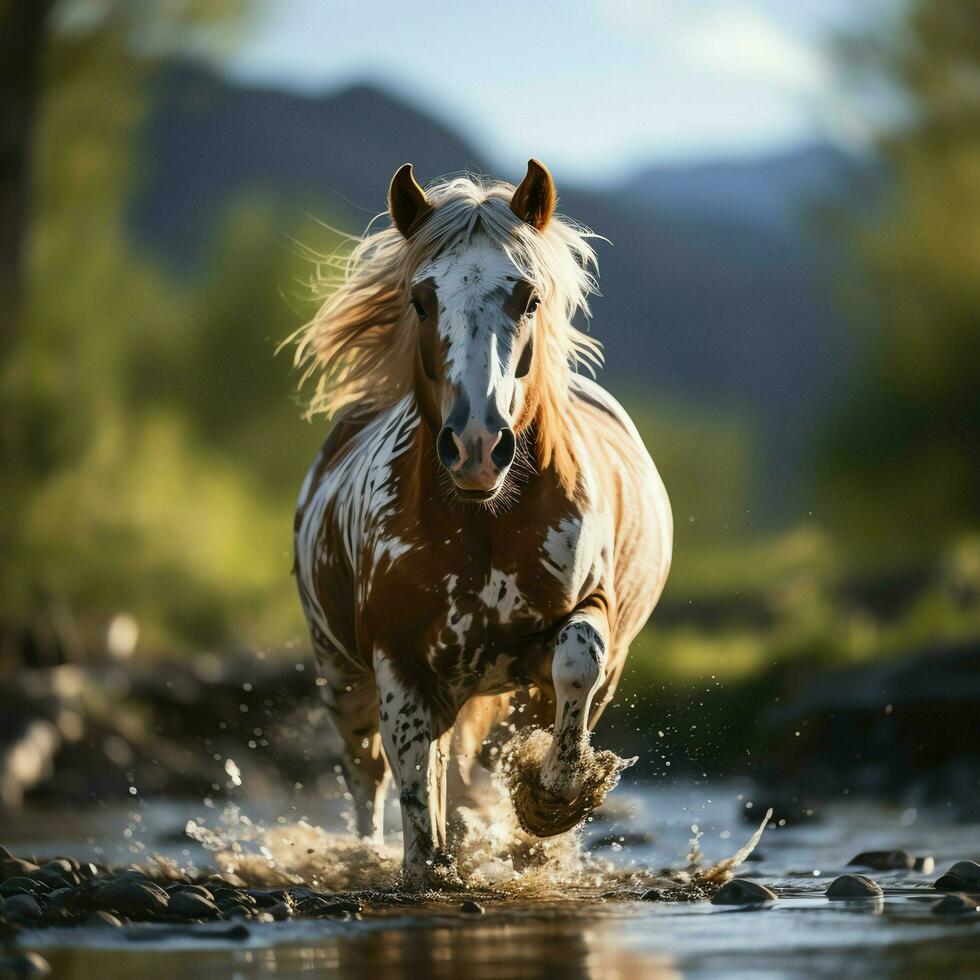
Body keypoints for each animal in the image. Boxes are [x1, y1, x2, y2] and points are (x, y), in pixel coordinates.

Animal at [290, 157, 672, 884]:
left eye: (529, 298)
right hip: (341, 677)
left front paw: (553, 801)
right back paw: (368, 851)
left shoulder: (589, 615)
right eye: (421, 299)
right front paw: (427, 870)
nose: (475, 445)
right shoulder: (400, 660)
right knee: (366, 778)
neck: (484, 523)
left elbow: (576, 662)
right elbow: (415, 784)